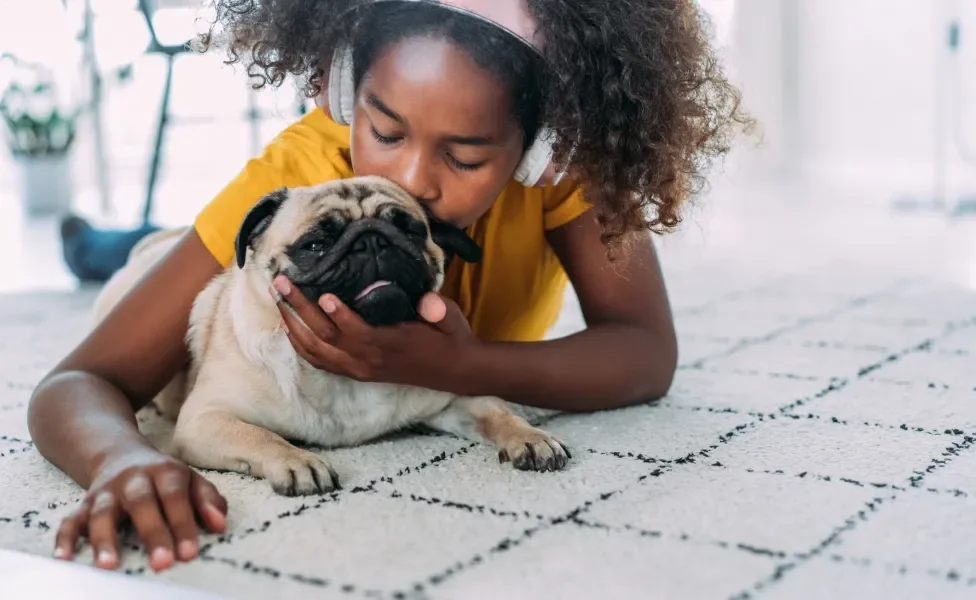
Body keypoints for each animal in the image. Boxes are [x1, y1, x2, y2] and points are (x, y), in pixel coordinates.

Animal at [93, 176, 564, 494]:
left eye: (409, 230)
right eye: (316, 245)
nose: (373, 240)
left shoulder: (454, 398)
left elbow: (497, 411)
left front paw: (530, 437)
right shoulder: (205, 419)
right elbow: (260, 435)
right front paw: (297, 460)